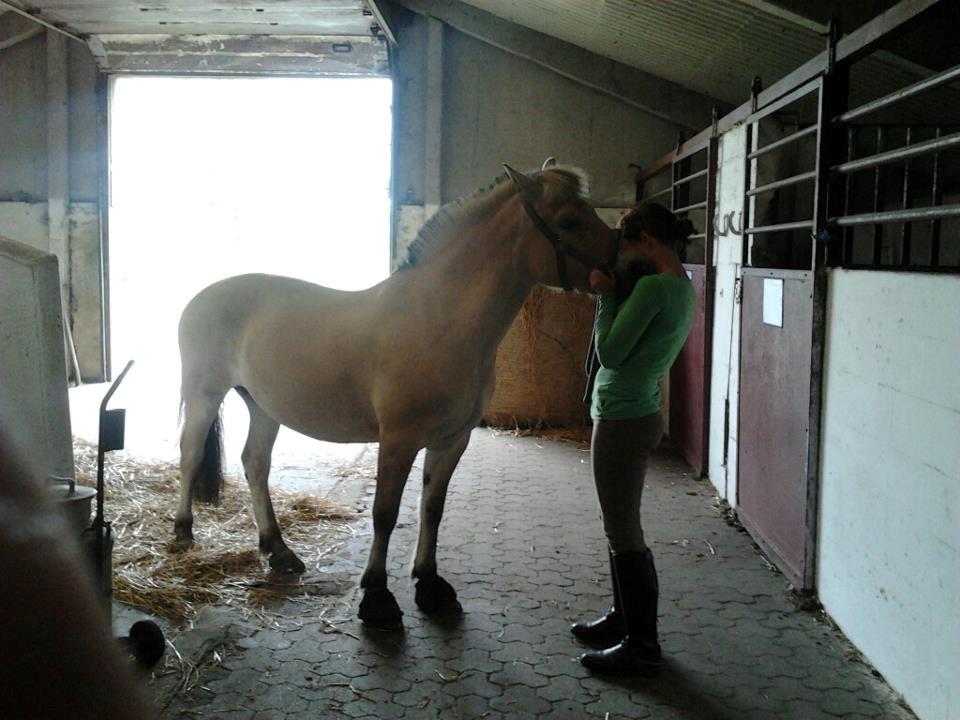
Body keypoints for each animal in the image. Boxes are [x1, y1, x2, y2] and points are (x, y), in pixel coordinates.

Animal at [173, 159, 618, 627]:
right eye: (569, 220)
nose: (622, 265)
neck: (438, 320)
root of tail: (201, 296)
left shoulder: (452, 441)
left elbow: (432, 508)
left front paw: (430, 583)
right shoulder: (399, 441)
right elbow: (384, 514)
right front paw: (377, 596)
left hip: (262, 406)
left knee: (255, 464)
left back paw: (278, 550)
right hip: (205, 395)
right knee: (190, 456)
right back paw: (183, 532)